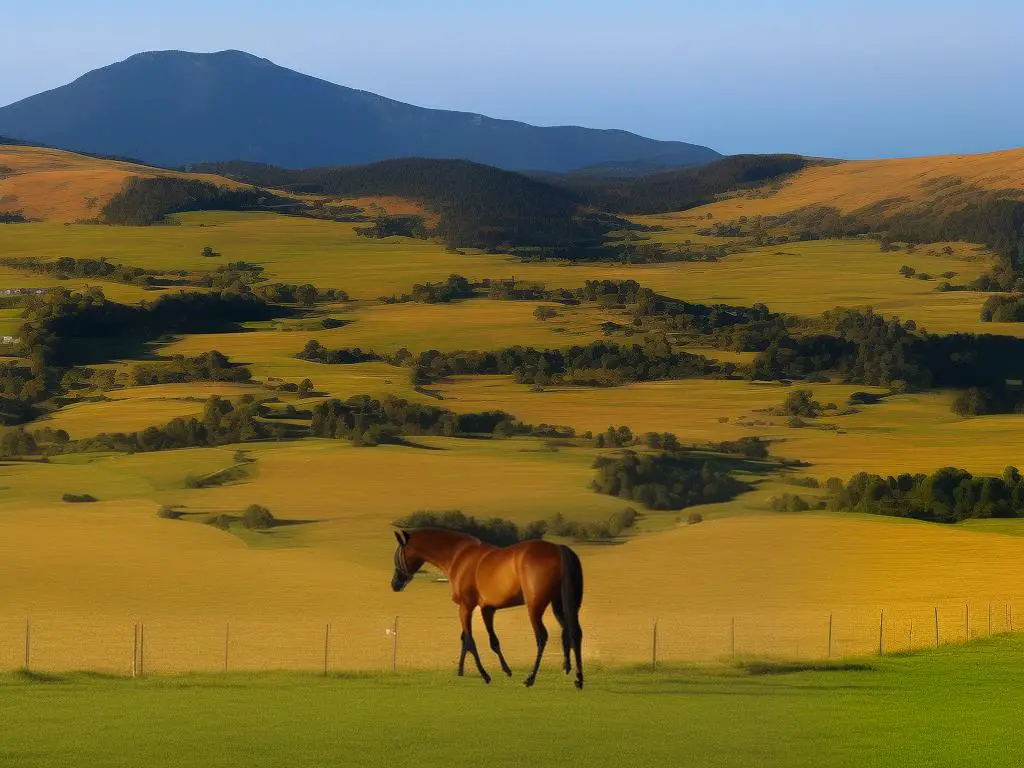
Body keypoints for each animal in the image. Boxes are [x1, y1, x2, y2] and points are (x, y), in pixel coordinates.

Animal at [391, 528, 585, 692]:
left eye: (398, 555)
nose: (395, 584)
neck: (458, 556)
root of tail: (558, 549)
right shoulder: (487, 609)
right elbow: (489, 641)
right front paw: (499, 670)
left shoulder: (465, 607)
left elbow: (470, 640)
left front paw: (484, 675)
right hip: (560, 604)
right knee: (572, 631)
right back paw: (577, 677)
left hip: (535, 607)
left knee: (542, 637)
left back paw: (531, 678)